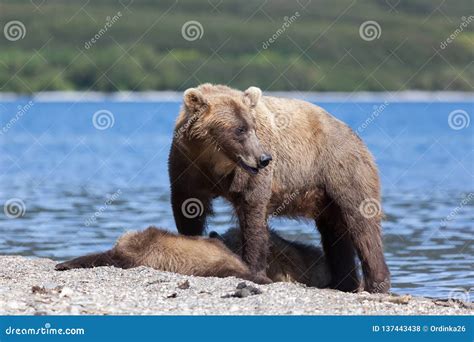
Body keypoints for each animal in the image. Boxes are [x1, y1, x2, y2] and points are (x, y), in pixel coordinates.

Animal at [168, 84, 390, 292]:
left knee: (362, 224)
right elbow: (188, 208)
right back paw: (343, 283)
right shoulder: (186, 165)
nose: (264, 158)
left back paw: (376, 284)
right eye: (239, 129)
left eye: (253, 127)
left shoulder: (249, 177)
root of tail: (353, 133)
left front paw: (255, 270)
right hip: (326, 197)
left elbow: (253, 213)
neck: (215, 161)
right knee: (335, 234)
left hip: (344, 170)